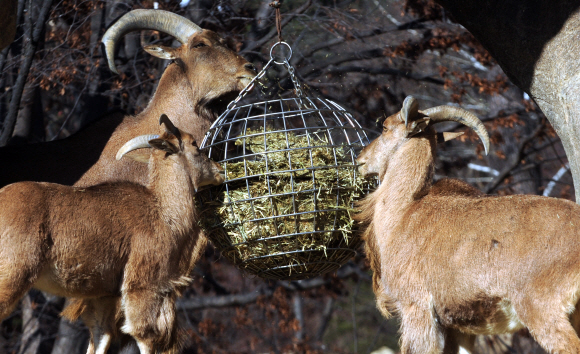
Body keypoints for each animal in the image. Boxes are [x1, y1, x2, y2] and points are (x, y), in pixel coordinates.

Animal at [0, 115, 224, 354]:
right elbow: (144, 335)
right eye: (194, 144)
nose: (219, 170)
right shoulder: (143, 286)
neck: (164, 212)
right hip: (13, 275)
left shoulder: (104, 296)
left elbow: (101, 337)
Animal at [354, 95, 580, 352]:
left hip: (542, 311)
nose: (360, 159)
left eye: (384, 127)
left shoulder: (416, 309)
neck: (403, 213)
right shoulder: (459, 330)